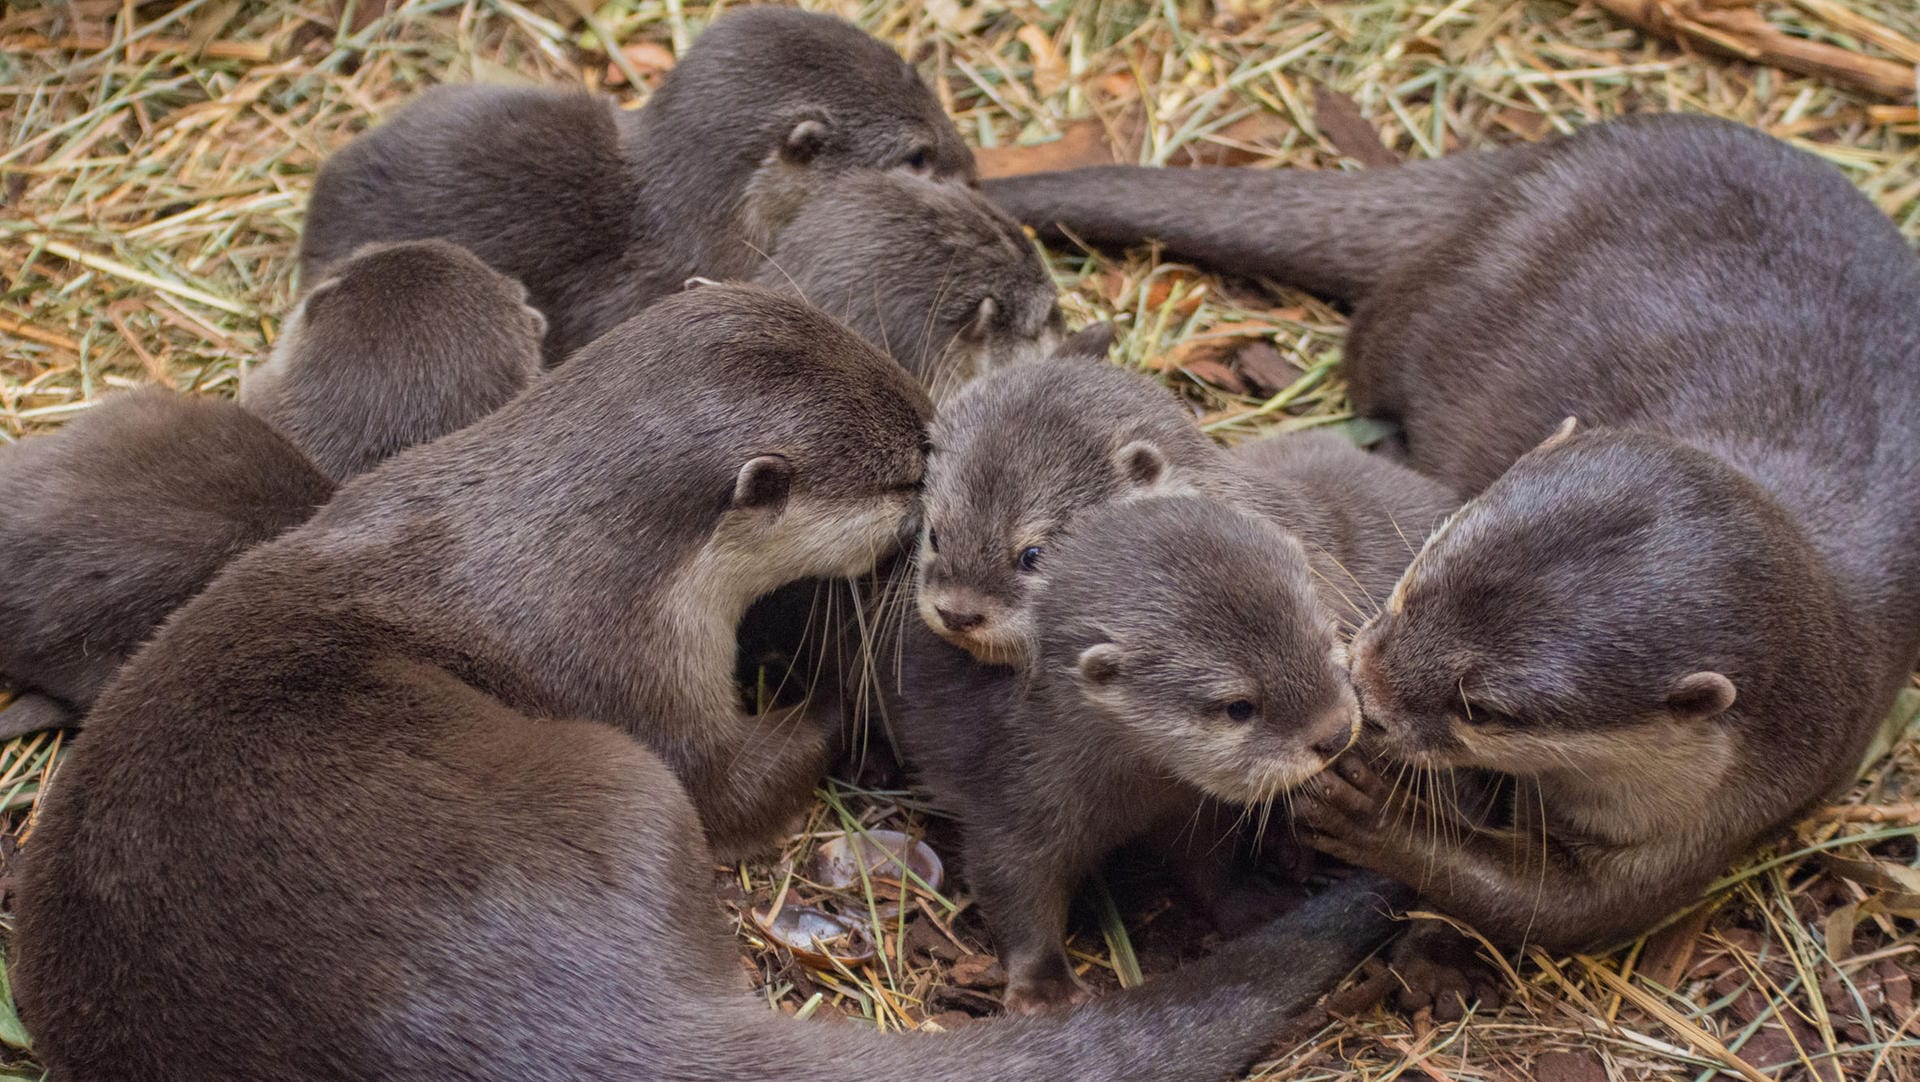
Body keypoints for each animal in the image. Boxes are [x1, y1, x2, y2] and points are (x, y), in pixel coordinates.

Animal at [983, 114, 1920, 951]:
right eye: (1413, 578)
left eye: (1489, 708)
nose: (1363, 691)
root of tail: (1544, 158)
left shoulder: (1719, 820)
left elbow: (1555, 910)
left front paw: (1378, 815)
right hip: (1436, 300)